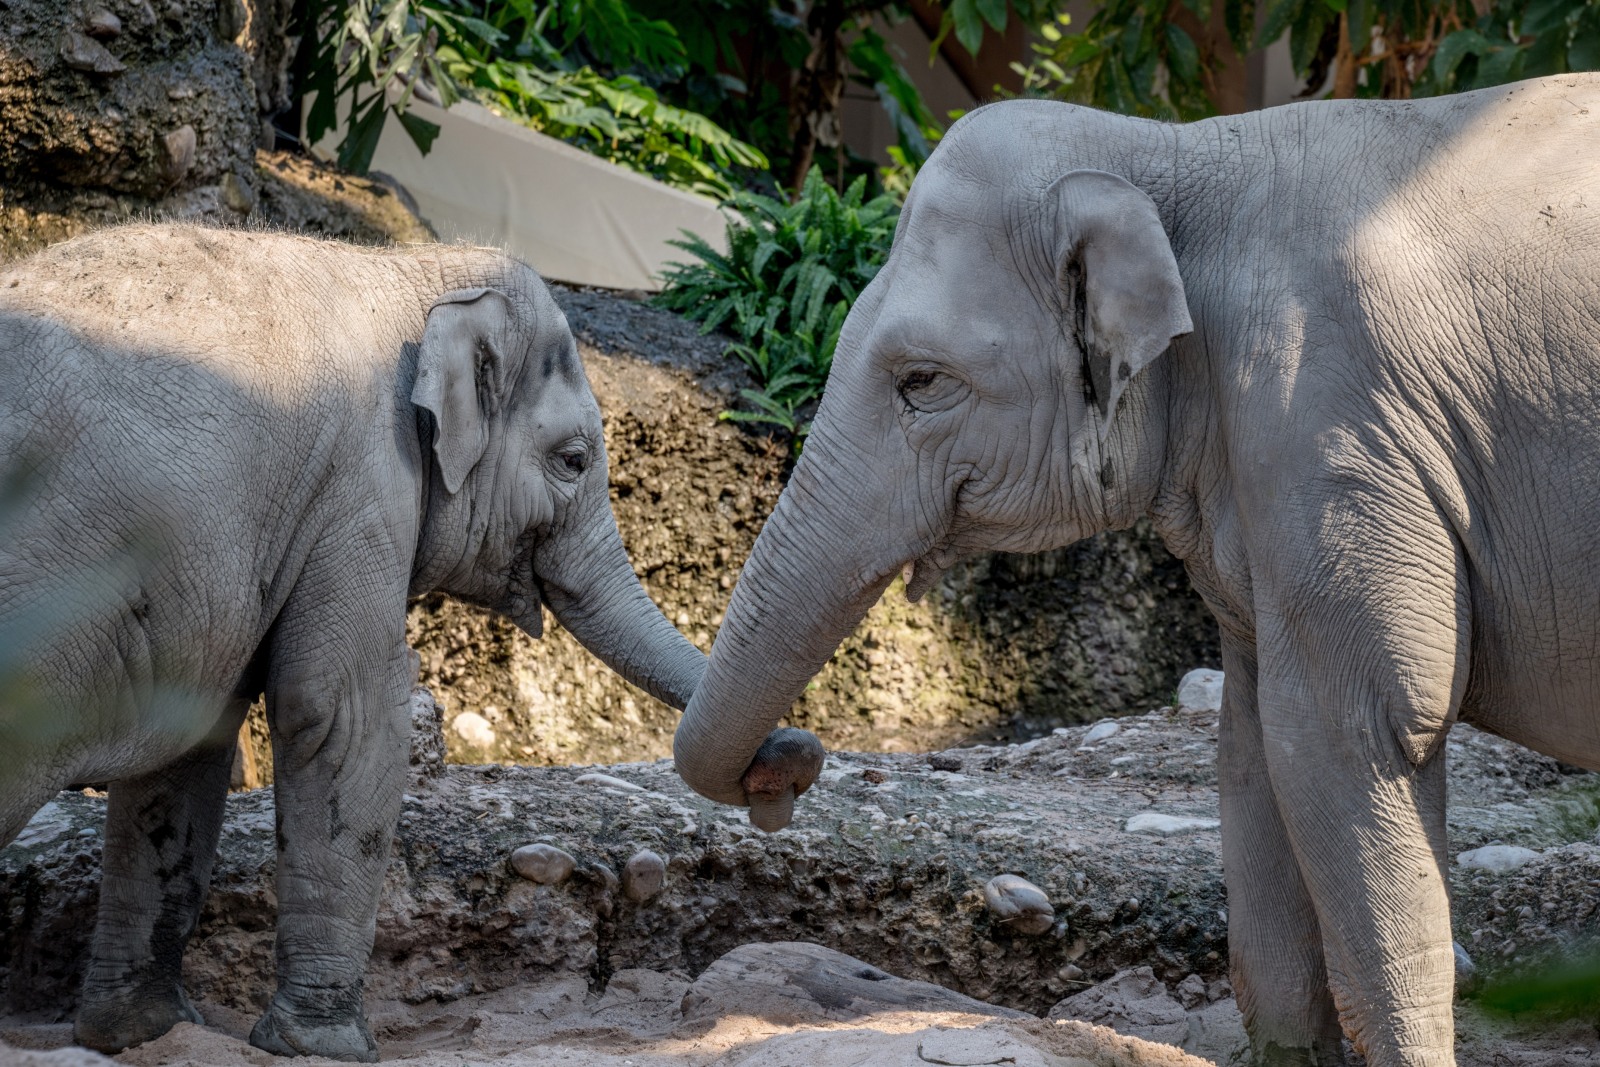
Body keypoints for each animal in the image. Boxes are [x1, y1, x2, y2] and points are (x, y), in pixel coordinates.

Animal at [0, 225, 812, 1062]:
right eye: (574, 460)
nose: (791, 763)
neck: (408, 268)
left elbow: (189, 744)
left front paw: (141, 1032)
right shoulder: (361, 483)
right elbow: (343, 714)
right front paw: (328, 1047)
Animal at [668, 70, 1600, 1062]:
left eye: (921, 381)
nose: (787, 769)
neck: (1177, 152)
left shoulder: (1333, 425)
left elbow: (1357, 728)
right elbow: (1255, 741)